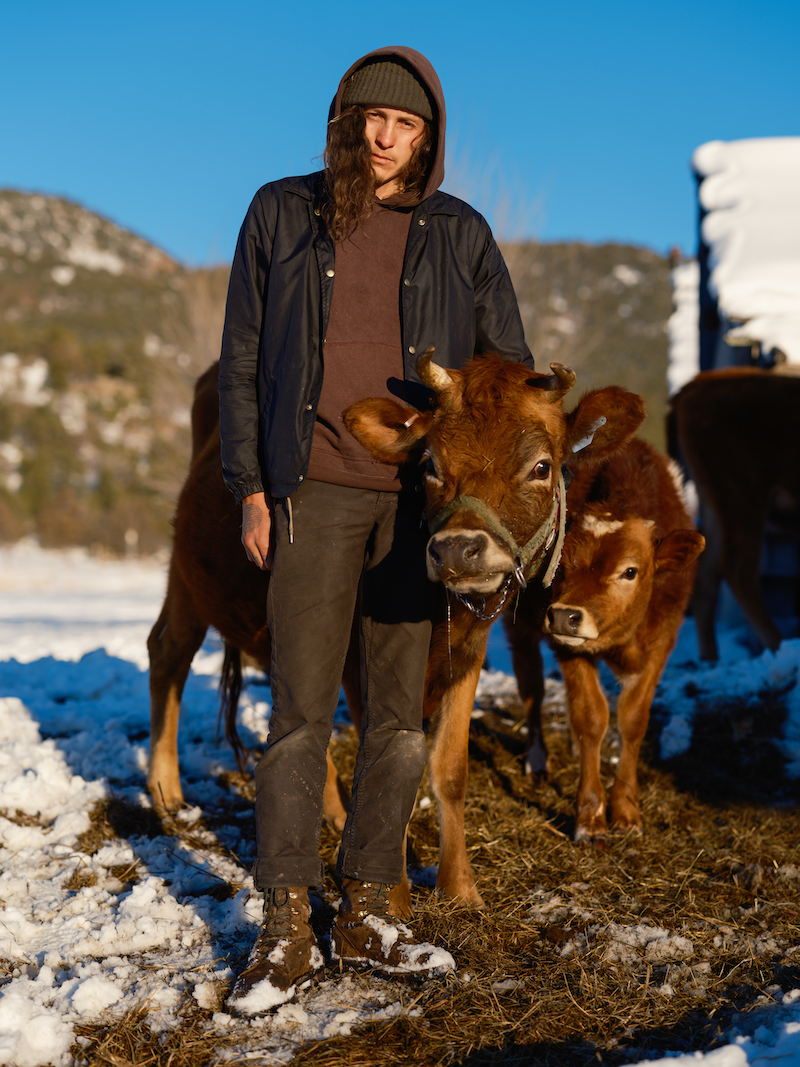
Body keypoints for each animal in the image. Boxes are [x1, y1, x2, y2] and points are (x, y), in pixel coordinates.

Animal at [503, 435, 704, 840]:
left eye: (630, 571)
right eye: (560, 566)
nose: (564, 616)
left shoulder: (662, 643)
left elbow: (633, 720)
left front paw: (625, 811)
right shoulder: (567, 647)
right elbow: (591, 717)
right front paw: (591, 817)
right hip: (519, 626)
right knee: (531, 686)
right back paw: (538, 760)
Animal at [669, 371, 800, 661]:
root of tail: (695, 385)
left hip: (714, 501)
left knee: (707, 572)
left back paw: (710, 659)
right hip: (742, 497)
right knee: (739, 569)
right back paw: (779, 648)